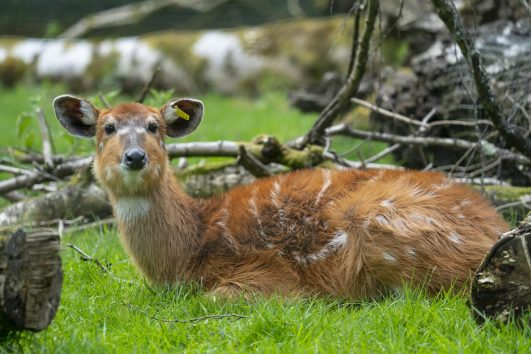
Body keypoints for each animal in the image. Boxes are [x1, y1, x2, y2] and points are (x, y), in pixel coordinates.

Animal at [53, 94, 508, 298]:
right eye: (107, 128)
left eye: (154, 127)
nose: (135, 157)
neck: (186, 251)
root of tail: (499, 231)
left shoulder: (267, 271)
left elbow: (217, 296)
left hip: (382, 223)